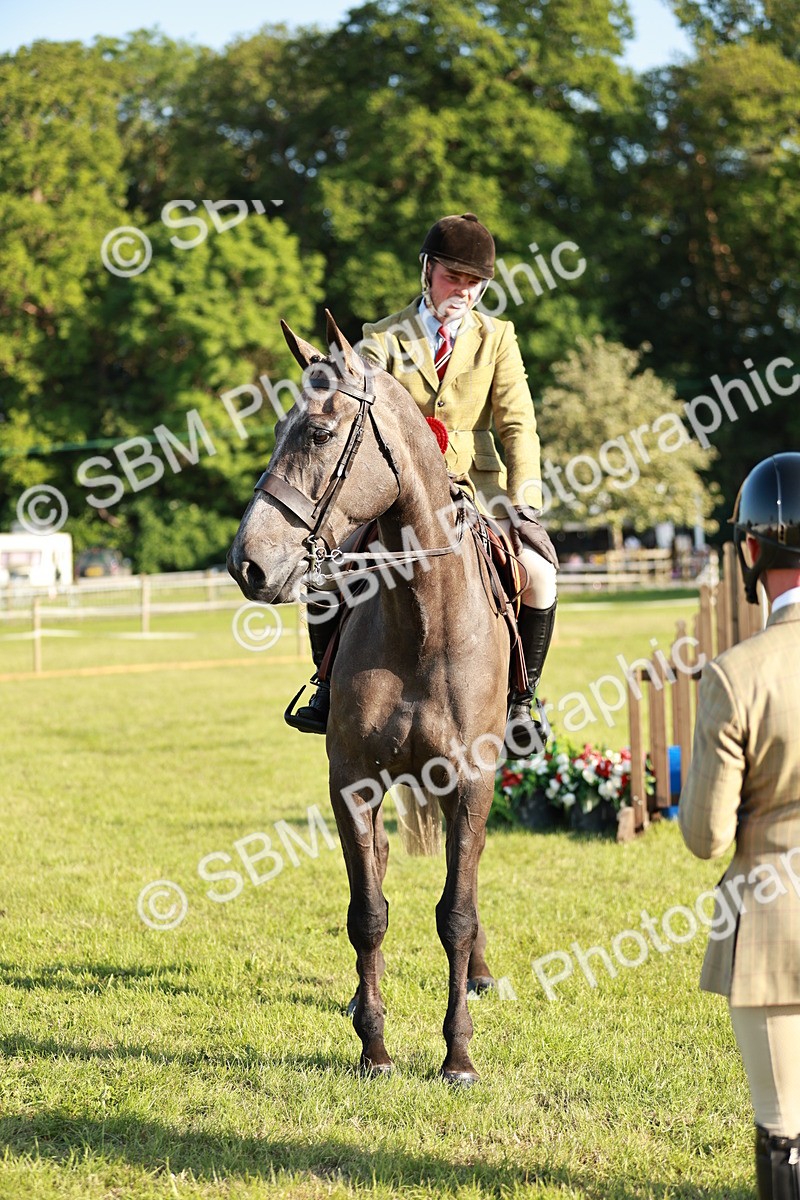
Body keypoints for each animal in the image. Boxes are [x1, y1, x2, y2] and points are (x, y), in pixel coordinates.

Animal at [228, 311, 511, 1084]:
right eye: (278, 429)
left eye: (320, 433)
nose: (246, 564)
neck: (422, 620)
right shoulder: (352, 783)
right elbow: (369, 912)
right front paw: (375, 1046)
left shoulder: (471, 781)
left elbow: (456, 912)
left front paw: (458, 1055)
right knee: (379, 866)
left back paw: (479, 975)